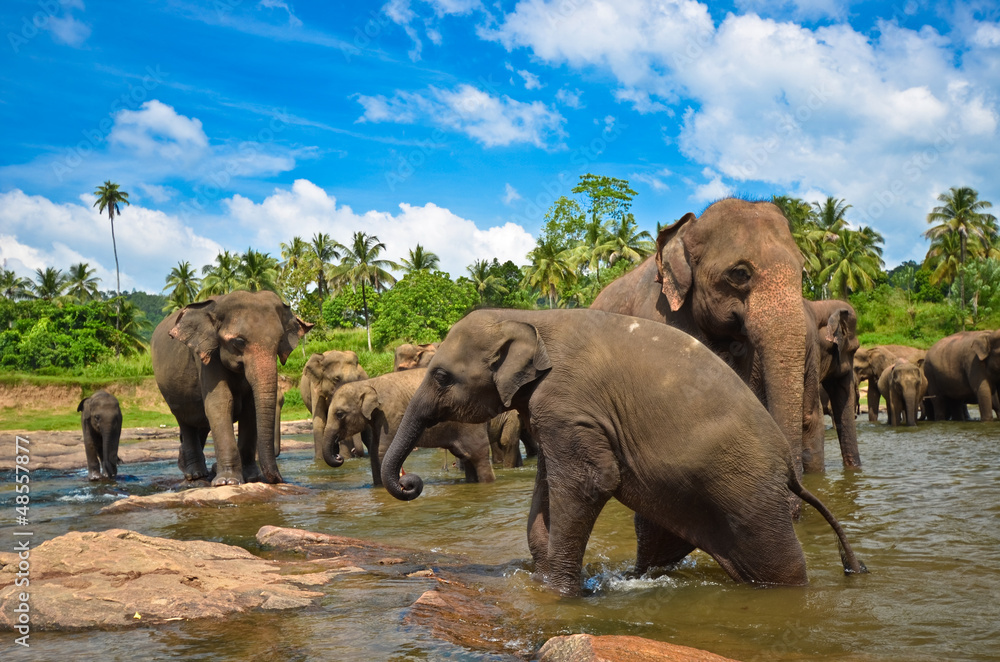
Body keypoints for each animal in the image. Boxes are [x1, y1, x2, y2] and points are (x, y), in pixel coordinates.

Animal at [151, 290, 312, 485]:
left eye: (280, 340)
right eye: (239, 341)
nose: (280, 479)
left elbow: (250, 409)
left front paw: (251, 478)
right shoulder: (207, 357)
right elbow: (220, 403)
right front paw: (227, 482)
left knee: (201, 424)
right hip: (170, 391)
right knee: (186, 422)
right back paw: (195, 475)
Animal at [321, 367, 495, 486]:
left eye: (339, 414)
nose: (339, 457)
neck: (367, 384)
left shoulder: (390, 415)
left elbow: (382, 450)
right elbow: (375, 451)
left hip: (471, 426)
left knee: (478, 456)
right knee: (467, 457)